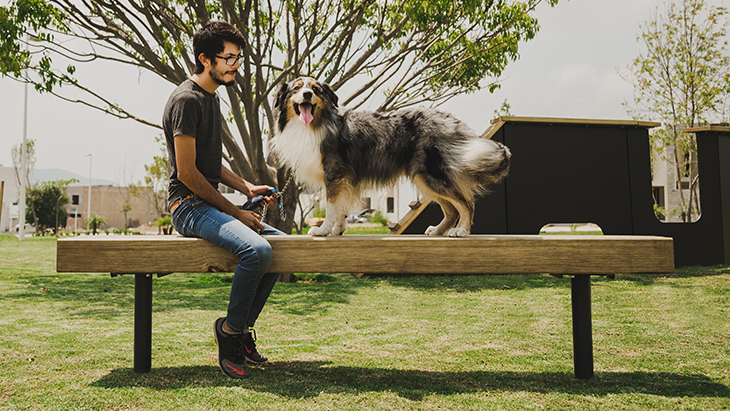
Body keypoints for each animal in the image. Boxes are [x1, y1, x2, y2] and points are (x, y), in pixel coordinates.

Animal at [270, 77, 510, 237]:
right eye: (297, 88)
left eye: (316, 90)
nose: (307, 95)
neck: (316, 124)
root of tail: (450, 121)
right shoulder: (343, 179)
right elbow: (341, 209)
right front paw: (338, 230)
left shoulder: (334, 174)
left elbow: (331, 207)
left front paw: (322, 230)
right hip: (423, 178)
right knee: (451, 209)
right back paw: (438, 231)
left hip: (431, 174)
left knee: (465, 202)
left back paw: (461, 231)